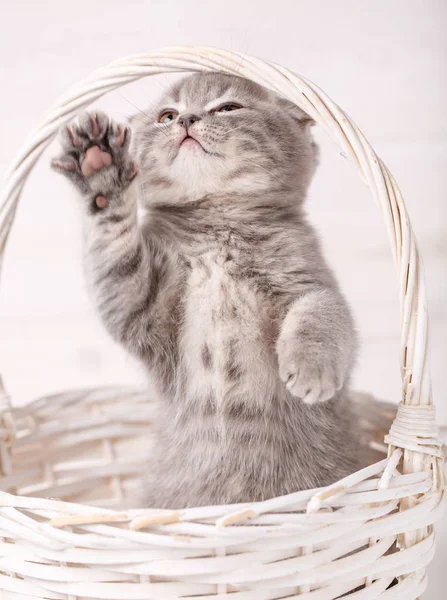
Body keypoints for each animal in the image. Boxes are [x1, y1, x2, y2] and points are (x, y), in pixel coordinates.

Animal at [51, 72, 364, 508]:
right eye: (167, 115)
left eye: (228, 108)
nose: (187, 120)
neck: (220, 232)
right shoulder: (141, 305)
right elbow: (115, 253)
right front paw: (99, 168)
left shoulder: (308, 278)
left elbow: (323, 313)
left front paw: (311, 370)